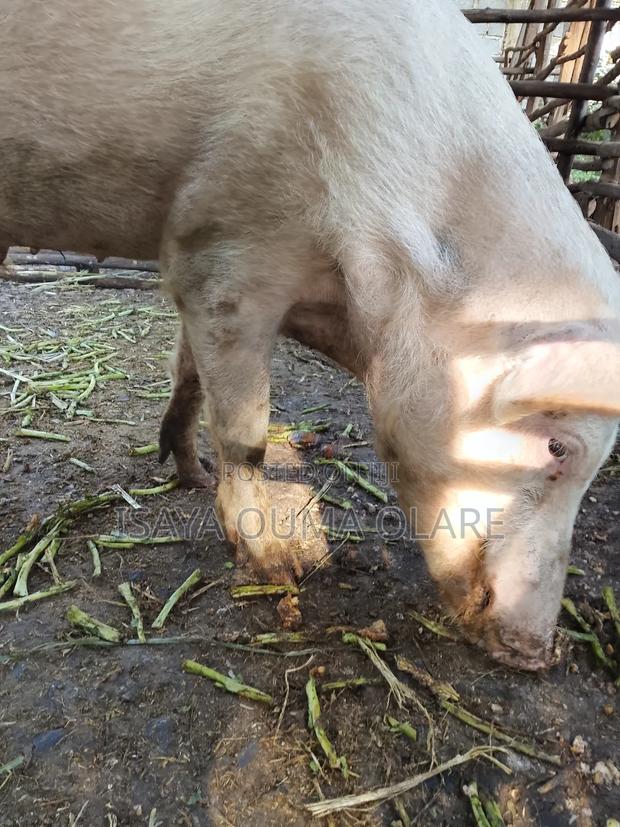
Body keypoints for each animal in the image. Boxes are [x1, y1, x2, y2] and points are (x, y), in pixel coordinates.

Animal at [1, 0, 619, 670]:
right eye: (557, 446)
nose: (538, 652)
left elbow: (188, 375)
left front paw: (191, 474)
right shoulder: (224, 247)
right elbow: (244, 433)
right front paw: (279, 568)